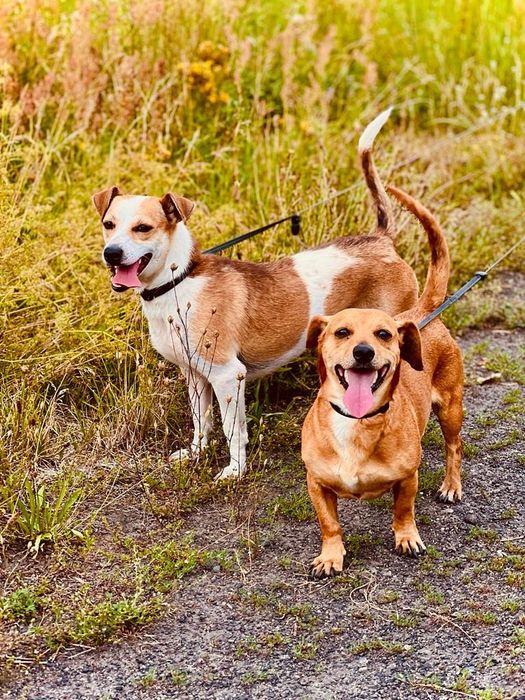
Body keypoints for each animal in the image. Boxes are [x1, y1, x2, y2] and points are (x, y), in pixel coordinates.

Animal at [93, 110, 422, 482]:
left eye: (143, 228)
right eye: (108, 224)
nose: (111, 253)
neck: (178, 282)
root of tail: (381, 240)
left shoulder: (227, 376)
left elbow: (232, 431)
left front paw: (235, 471)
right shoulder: (195, 375)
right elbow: (201, 422)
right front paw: (196, 454)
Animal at [302, 183, 462, 576]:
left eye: (384, 334)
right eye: (341, 332)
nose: (363, 352)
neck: (358, 424)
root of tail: (419, 313)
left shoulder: (407, 478)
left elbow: (403, 510)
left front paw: (407, 537)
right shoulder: (317, 483)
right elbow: (330, 523)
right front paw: (331, 555)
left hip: (451, 408)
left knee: (454, 447)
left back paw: (452, 485)